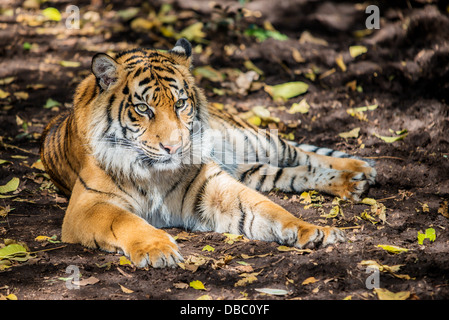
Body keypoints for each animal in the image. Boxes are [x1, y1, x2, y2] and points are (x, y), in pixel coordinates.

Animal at [40, 38, 374, 268]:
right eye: (143, 108)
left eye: (179, 103)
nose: (174, 147)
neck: (154, 173)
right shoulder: (88, 204)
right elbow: (125, 220)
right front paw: (158, 249)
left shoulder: (214, 186)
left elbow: (272, 210)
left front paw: (314, 230)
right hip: (254, 171)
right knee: (294, 172)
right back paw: (354, 181)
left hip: (252, 140)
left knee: (301, 154)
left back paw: (361, 169)